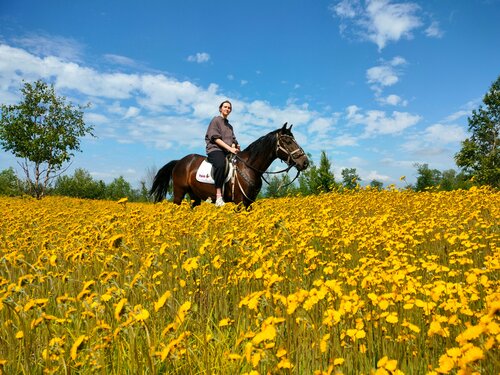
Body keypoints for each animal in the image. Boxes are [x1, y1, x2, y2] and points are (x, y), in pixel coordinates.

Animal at [149, 123, 308, 207]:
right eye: (288, 141)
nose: (305, 162)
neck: (249, 167)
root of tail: (179, 162)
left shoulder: (249, 203)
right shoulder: (239, 202)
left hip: (195, 197)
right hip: (178, 194)